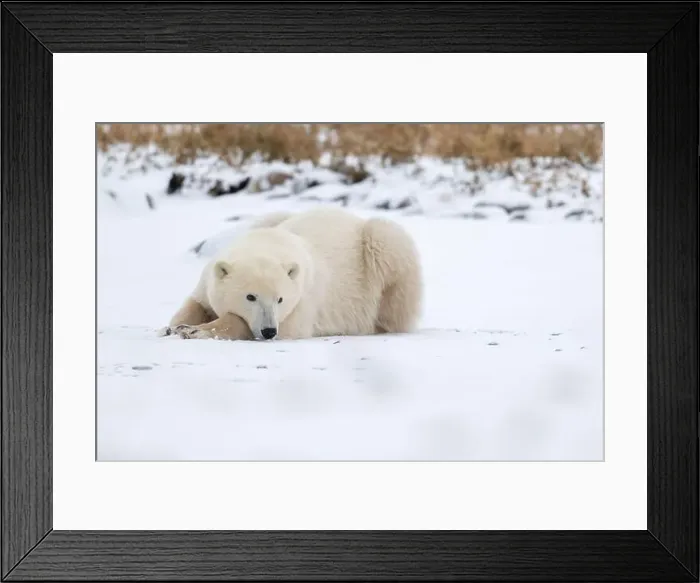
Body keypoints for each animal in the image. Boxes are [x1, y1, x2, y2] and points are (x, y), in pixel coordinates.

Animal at [160, 207, 423, 341]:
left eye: (280, 299)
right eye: (250, 296)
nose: (268, 331)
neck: (268, 242)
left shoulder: (304, 296)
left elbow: (289, 327)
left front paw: (195, 330)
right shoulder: (209, 278)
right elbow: (196, 303)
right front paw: (172, 327)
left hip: (381, 251)